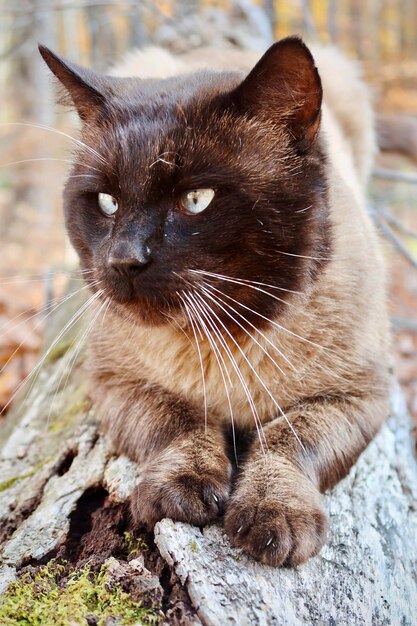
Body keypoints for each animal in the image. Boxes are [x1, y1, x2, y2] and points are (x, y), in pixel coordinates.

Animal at [39, 37, 390, 564]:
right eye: (107, 203)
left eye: (196, 200)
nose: (124, 260)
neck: (219, 340)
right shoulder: (113, 383)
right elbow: (181, 422)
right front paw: (183, 491)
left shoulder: (358, 396)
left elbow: (288, 439)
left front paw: (274, 518)